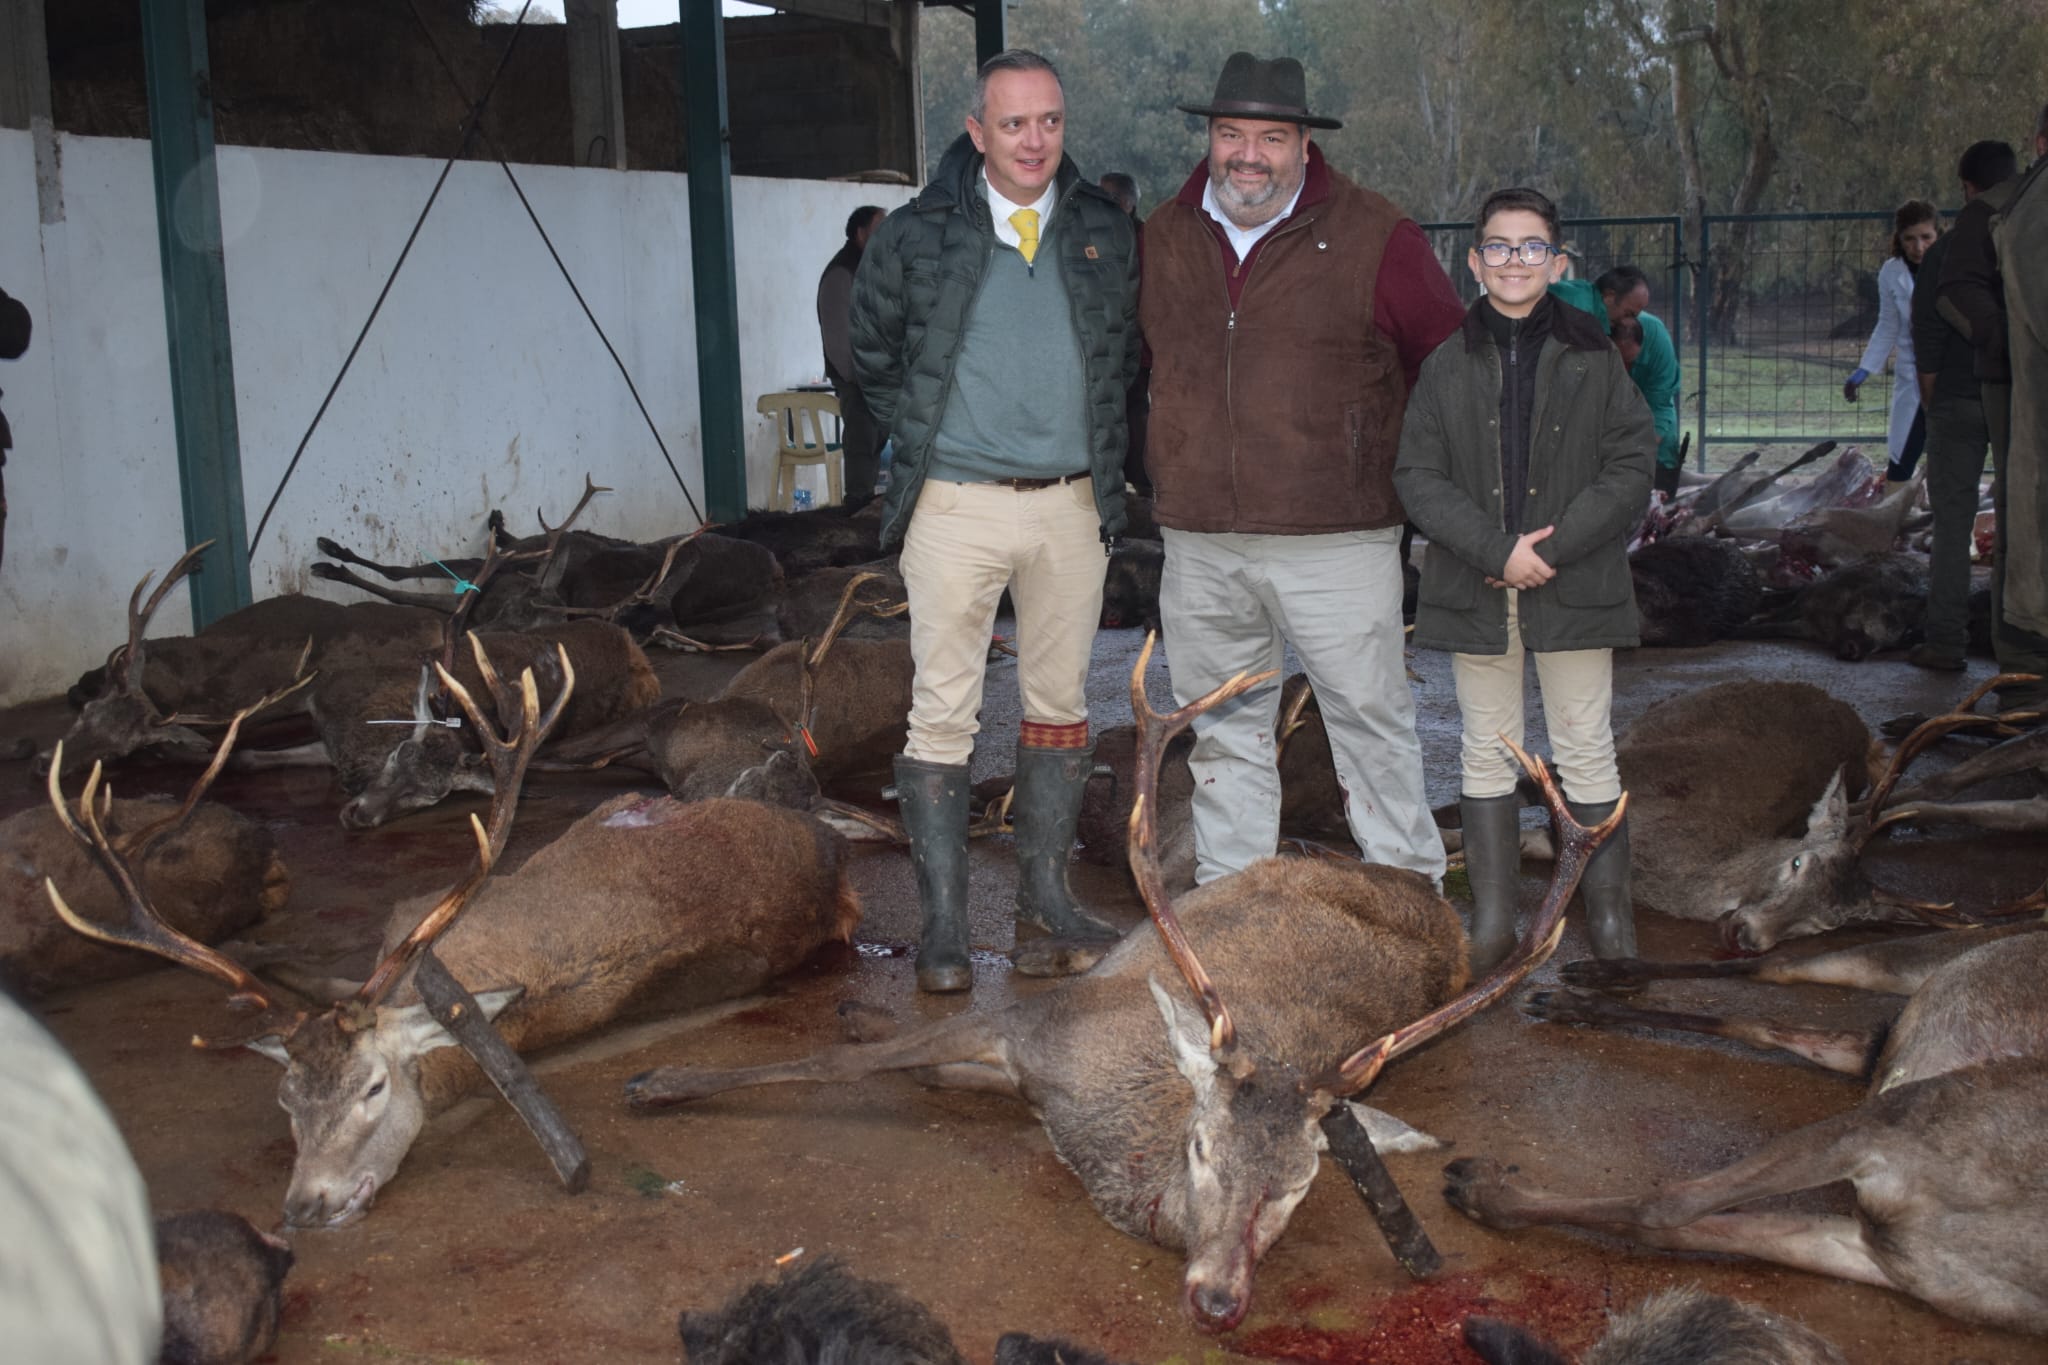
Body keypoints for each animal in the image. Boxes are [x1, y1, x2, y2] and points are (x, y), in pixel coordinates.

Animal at [42, 636, 866, 1229]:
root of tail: (829, 862)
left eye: (374, 1086)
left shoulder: (409, 914)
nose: (307, 1206)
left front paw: (256, 959)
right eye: (285, 1099)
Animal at [625, 637, 1621, 1334]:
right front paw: (658, 1081)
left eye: (1302, 1181)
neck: (1105, 1135)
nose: (1219, 1299)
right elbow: (844, 1064)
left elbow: (919, 1067)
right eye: (1203, 1148)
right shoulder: (1031, 1028)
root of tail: (1426, 898)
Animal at [1444, 899, 2048, 1335]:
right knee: (1771, 968)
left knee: (1782, 1028)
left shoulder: (1878, 1251)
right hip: (1917, 972)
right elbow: (1664, 1207)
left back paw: (1585, 998)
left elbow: (1664, 1219)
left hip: (1884, 1048)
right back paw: (1599, 976)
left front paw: (1485, 1192)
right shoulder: (1890, 1122)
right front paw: (1484, 1189)